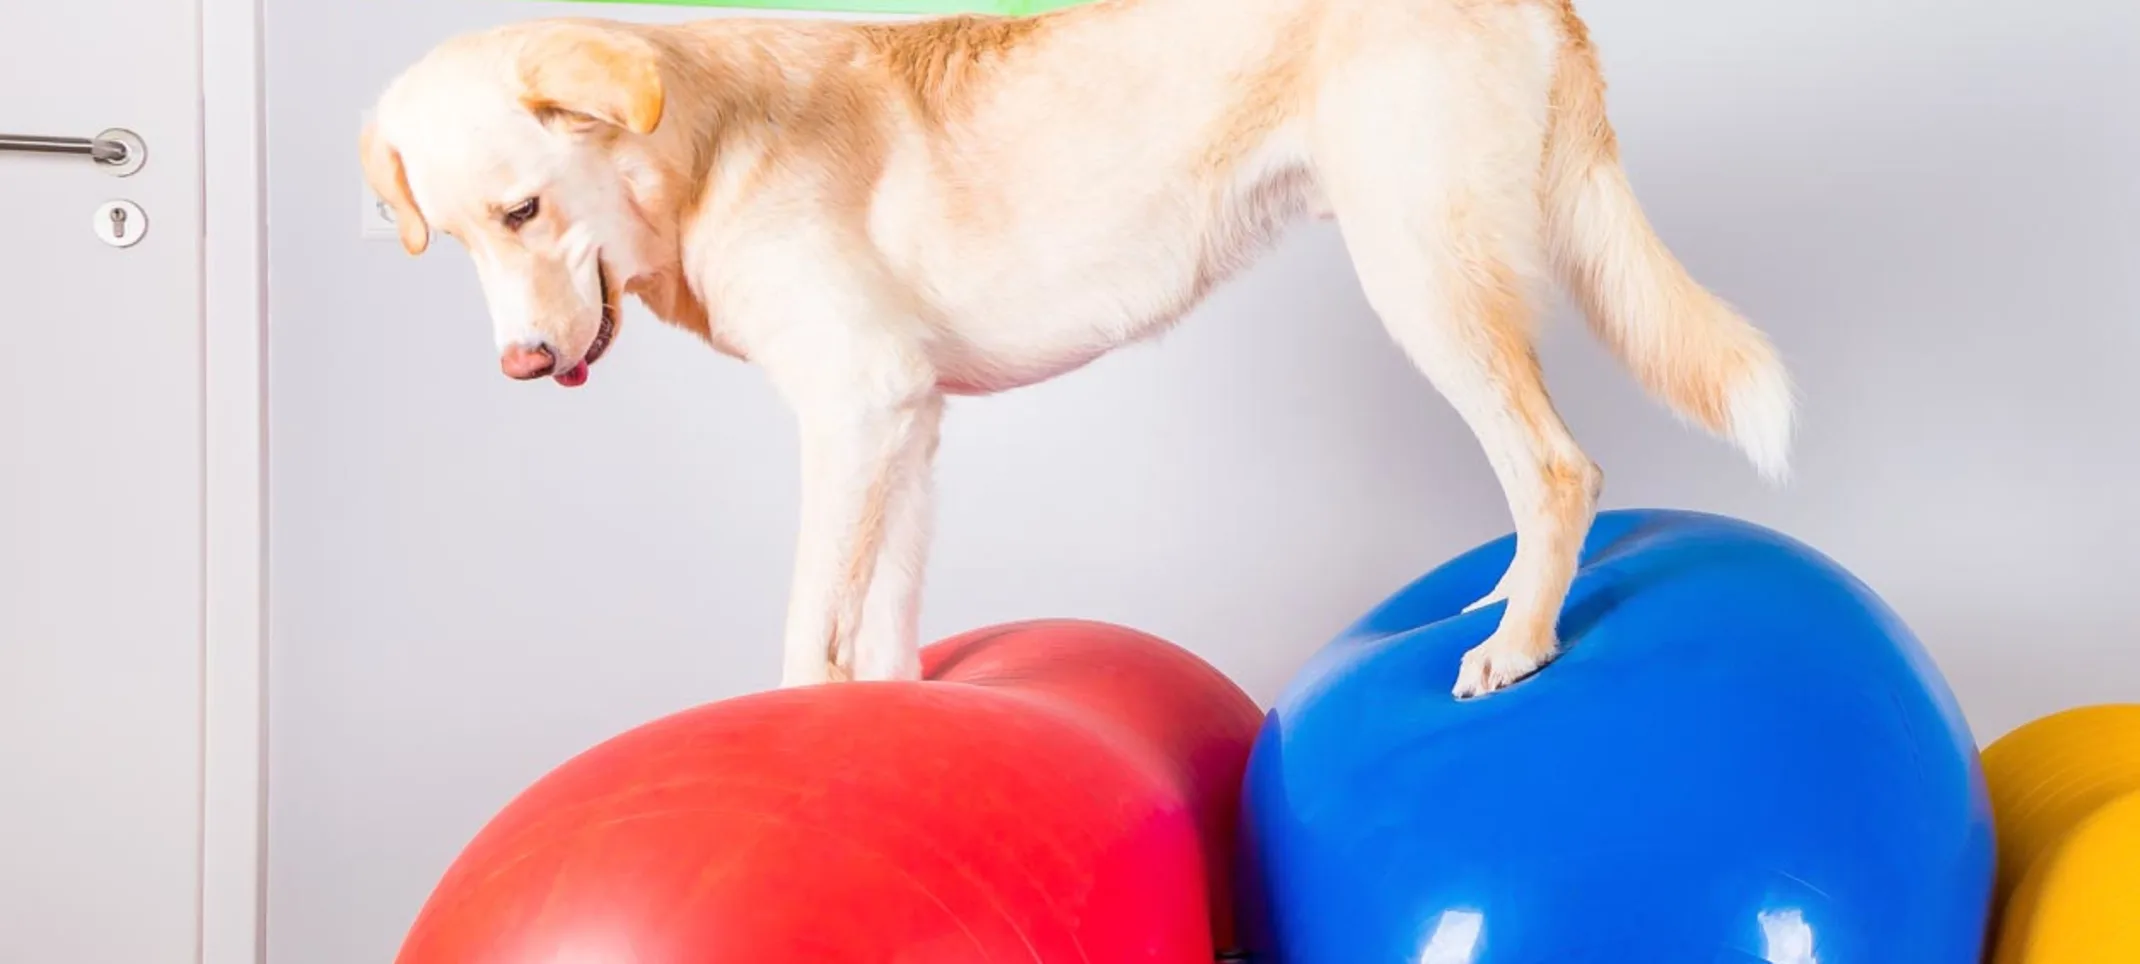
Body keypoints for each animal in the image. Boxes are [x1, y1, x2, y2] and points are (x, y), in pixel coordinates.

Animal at [363, 0, 1789, 698]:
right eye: (454, 238)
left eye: (523, 211)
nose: (520, 364)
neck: (700, 144)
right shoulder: (908, 422)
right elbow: (884, 631)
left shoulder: (855, 413)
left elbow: (806, 631)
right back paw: (1500, 601)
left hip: (1421, 275)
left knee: (1557, 467)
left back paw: (1522, 643)